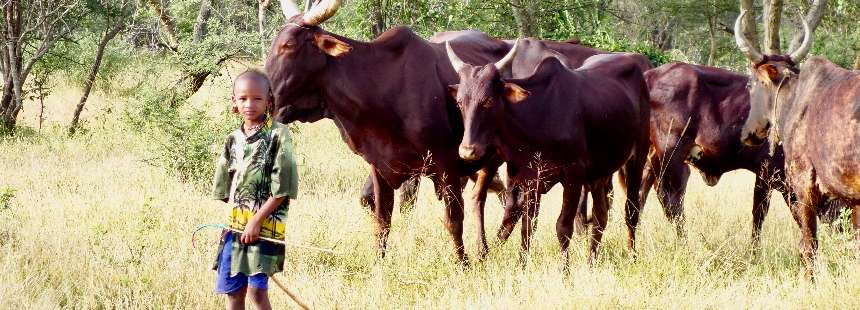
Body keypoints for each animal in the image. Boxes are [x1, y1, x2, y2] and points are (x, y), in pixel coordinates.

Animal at [446, 37, 648, 262]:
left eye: (488, 100)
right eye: (459, 102)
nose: (468, 151)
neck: (538, 113)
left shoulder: (573, 173)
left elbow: (563, 226)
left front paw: (564, 268)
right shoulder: (530, 178)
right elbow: (527, 227)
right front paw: (522, 265)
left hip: (637, 158)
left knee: (631, 211)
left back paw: (632, 256)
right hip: (600, 172)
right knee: (601, 216)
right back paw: (591, 261)